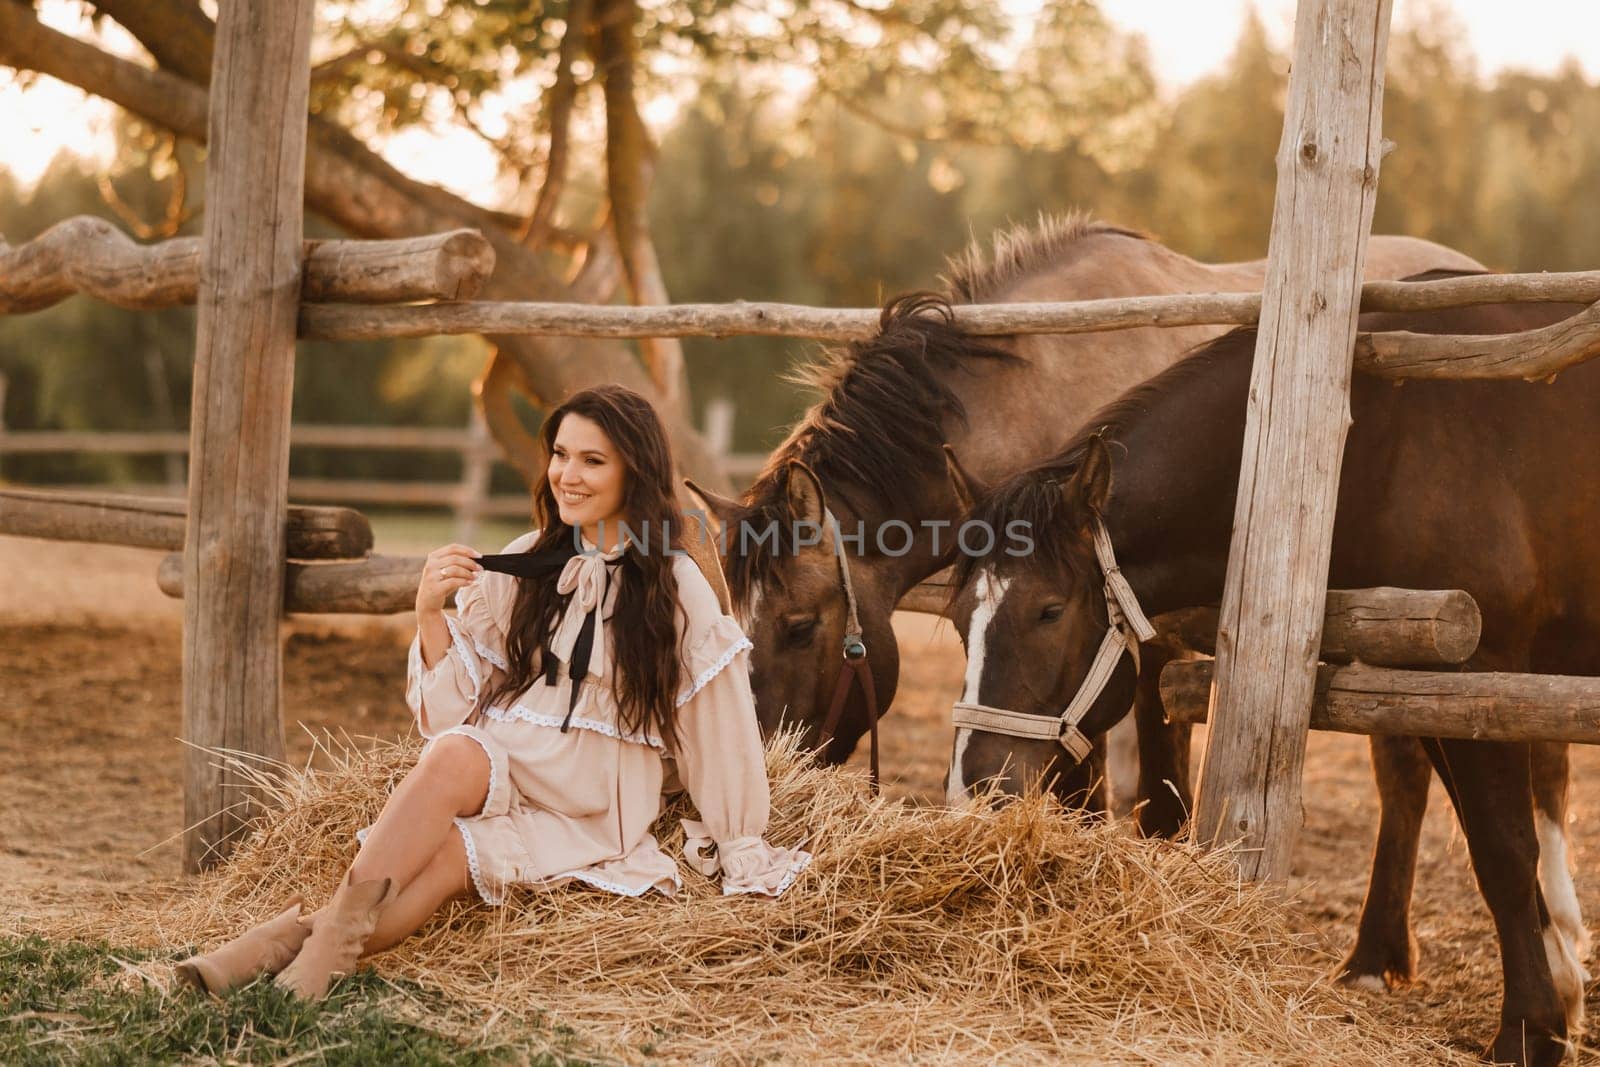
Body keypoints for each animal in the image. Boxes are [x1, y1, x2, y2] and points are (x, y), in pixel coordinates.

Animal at [940, 286, 1593, 1067]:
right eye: (957, 617)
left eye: (1048, 609)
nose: (978, 788)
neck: (1375, 436)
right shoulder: (1431, 678)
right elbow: (1483, 834)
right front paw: (1554, 998)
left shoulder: (1483, 668)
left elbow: (1502, 850)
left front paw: (1530, 1029)